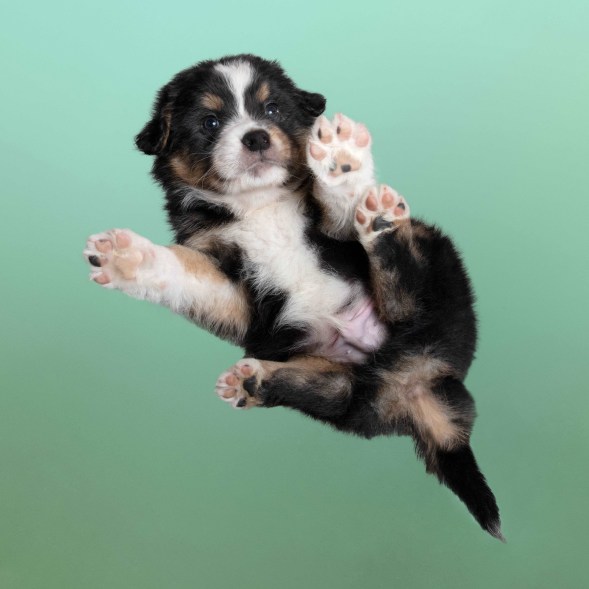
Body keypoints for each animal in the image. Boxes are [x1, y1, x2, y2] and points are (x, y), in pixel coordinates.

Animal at [85, 54, 504, 536]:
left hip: (432, 274)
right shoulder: (237, 290)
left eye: (273, 110)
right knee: (327, 391)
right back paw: (252, 381)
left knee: (404, 280)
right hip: (344, 385)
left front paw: (341, 158)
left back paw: (381, 222)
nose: (256, 137)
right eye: (210, 122)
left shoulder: (336, 243)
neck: (259, 204)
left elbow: (340, 209)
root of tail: (416, 379)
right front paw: (125, 258)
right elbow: (185, 271)